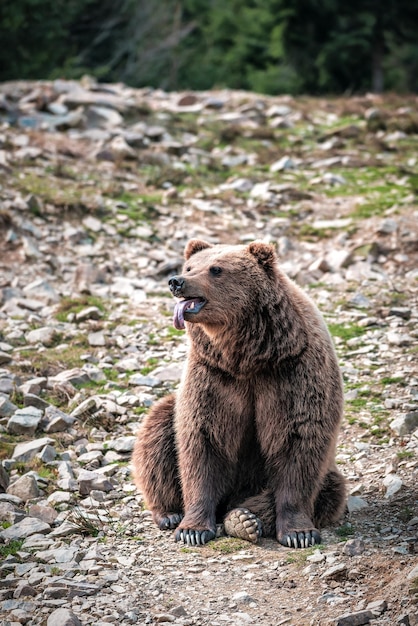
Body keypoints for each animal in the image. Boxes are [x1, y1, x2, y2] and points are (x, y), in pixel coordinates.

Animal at [133, 239, 346, 544]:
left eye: (216, 269)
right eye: (189, 266)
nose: (176, 281)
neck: (246, 357)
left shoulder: (294, 371)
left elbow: (298, 441)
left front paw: (299, 534)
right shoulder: (213, 375)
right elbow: (202, 440)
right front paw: (192, 529)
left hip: (325, 476)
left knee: (329, 490)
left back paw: (244, 518)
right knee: (159, 431)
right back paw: (170, 513)